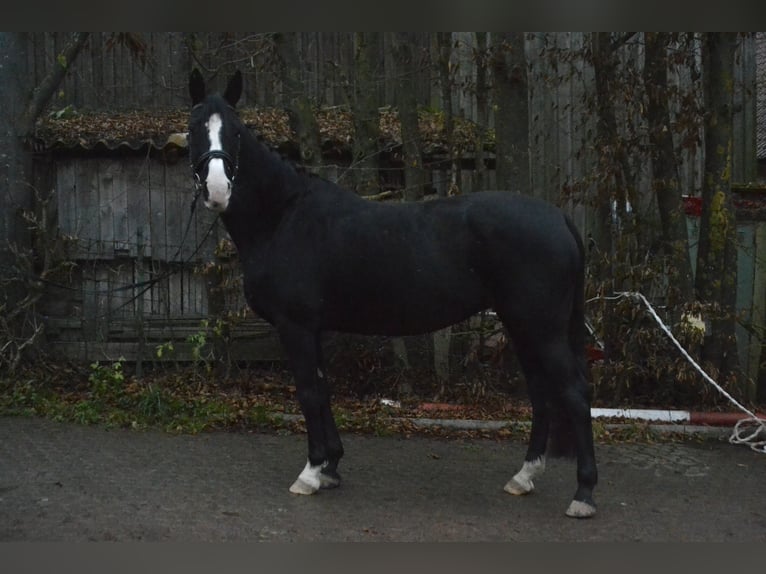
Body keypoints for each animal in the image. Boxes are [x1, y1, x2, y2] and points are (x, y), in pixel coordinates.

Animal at [188, 70, 600, 520]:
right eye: (194, 128)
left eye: (236, 131)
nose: (217, 190)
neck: (283, 216)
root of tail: (558, 218)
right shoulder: (313, 328)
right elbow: (322, 390)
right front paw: (331, 467)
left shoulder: (295, 327)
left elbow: (309, 392)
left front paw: (311, 473)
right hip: (522, 326)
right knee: (541, 393)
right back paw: (523, 477)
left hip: (541, 329)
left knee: (574, 393)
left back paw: (583, 494)